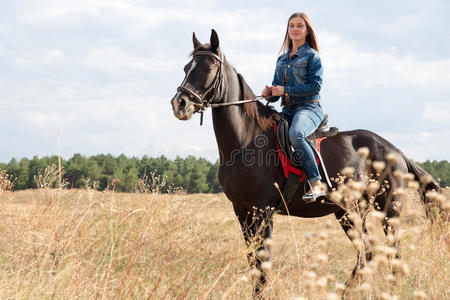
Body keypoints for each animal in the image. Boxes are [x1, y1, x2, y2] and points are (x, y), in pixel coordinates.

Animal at [170, 31, 440, 296]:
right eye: (185, 68)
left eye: (207, 68)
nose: (179, 104)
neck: (245, 139)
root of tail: (397, 152)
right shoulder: (242, 211)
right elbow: (253, 260)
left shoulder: (263, 211)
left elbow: (263, 260)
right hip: (348, 212)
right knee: (368, 252)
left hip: (388, 211)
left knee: (390, 252)